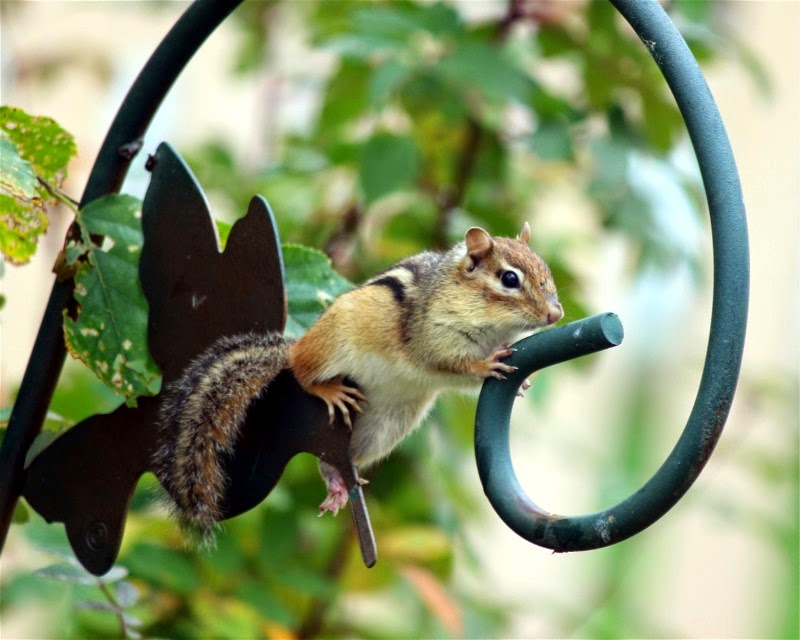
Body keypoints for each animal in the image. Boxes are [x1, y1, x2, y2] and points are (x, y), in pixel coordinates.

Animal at [153, 223, 563, 539]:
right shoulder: (432, 336)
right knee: (302, 370)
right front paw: (486, 364)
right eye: (509, 279)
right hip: (332, 343)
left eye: (547, 273)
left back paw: (337, 482)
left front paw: (520, 381)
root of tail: (296, 345)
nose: (556, 314)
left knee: (332, 460)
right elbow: (450, 362)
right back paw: (327, 390)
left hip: (387, 426)